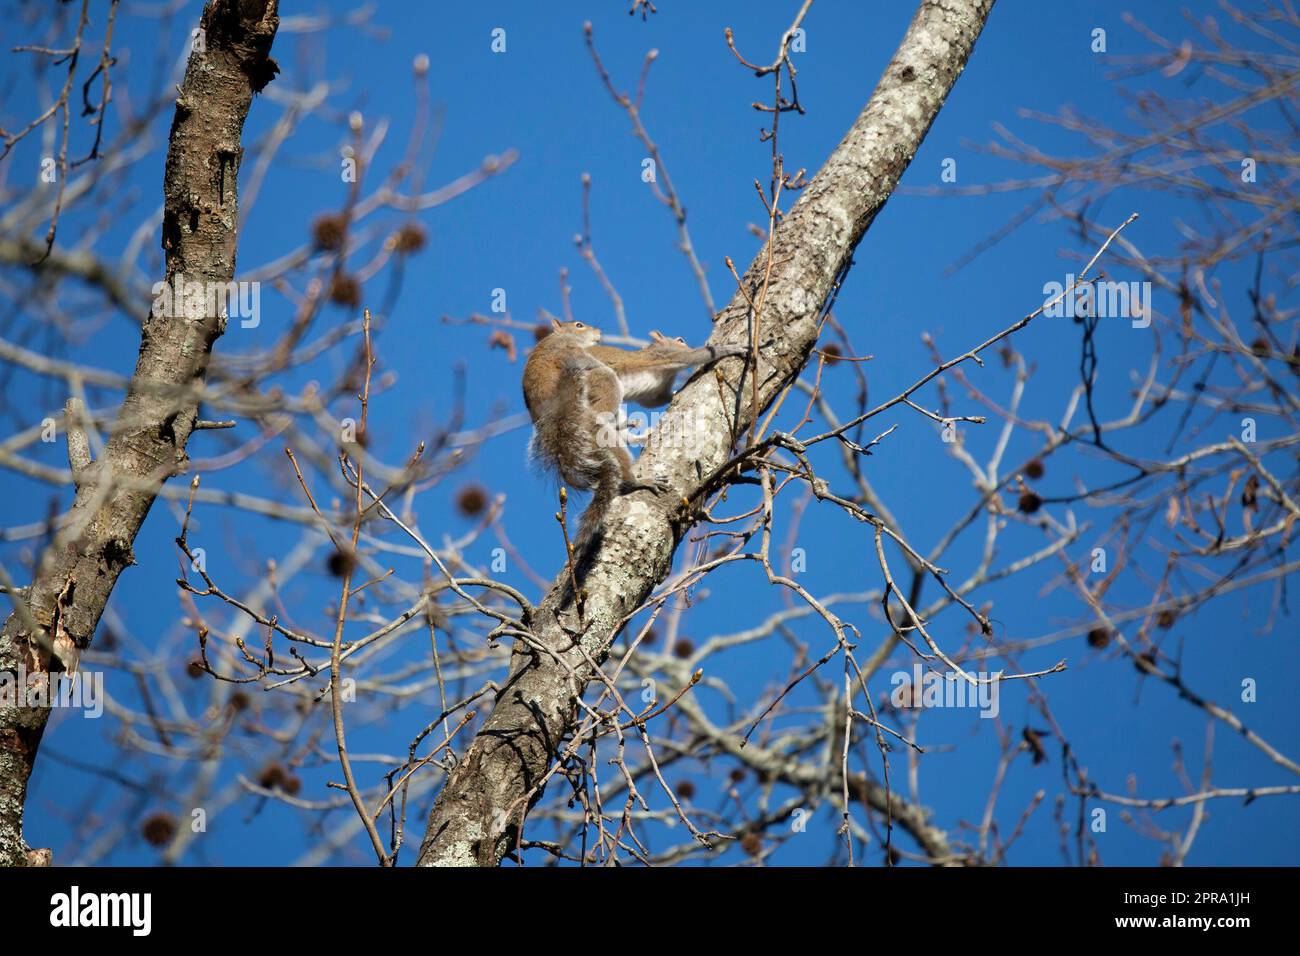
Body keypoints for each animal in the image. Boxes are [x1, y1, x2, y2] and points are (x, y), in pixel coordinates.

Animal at [522, 319, 747, 546]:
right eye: (681, 340)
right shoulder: (667, 356)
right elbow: (695, 356)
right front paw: (731, 348)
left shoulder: (655, 394)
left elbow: (656, 400)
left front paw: (675, 393)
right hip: (602, 385)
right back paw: (637, 477)